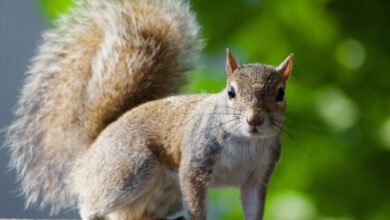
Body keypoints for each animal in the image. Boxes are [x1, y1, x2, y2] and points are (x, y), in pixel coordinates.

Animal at [5, 0, 292, 220]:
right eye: (231, 92)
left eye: (281, 93)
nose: (254, 120)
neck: (246, 142)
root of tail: (86, 158)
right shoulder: (196, 161)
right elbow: (194, 196)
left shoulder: (258, 175)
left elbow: (253, 205)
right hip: (129, 167)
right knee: (92, 205)